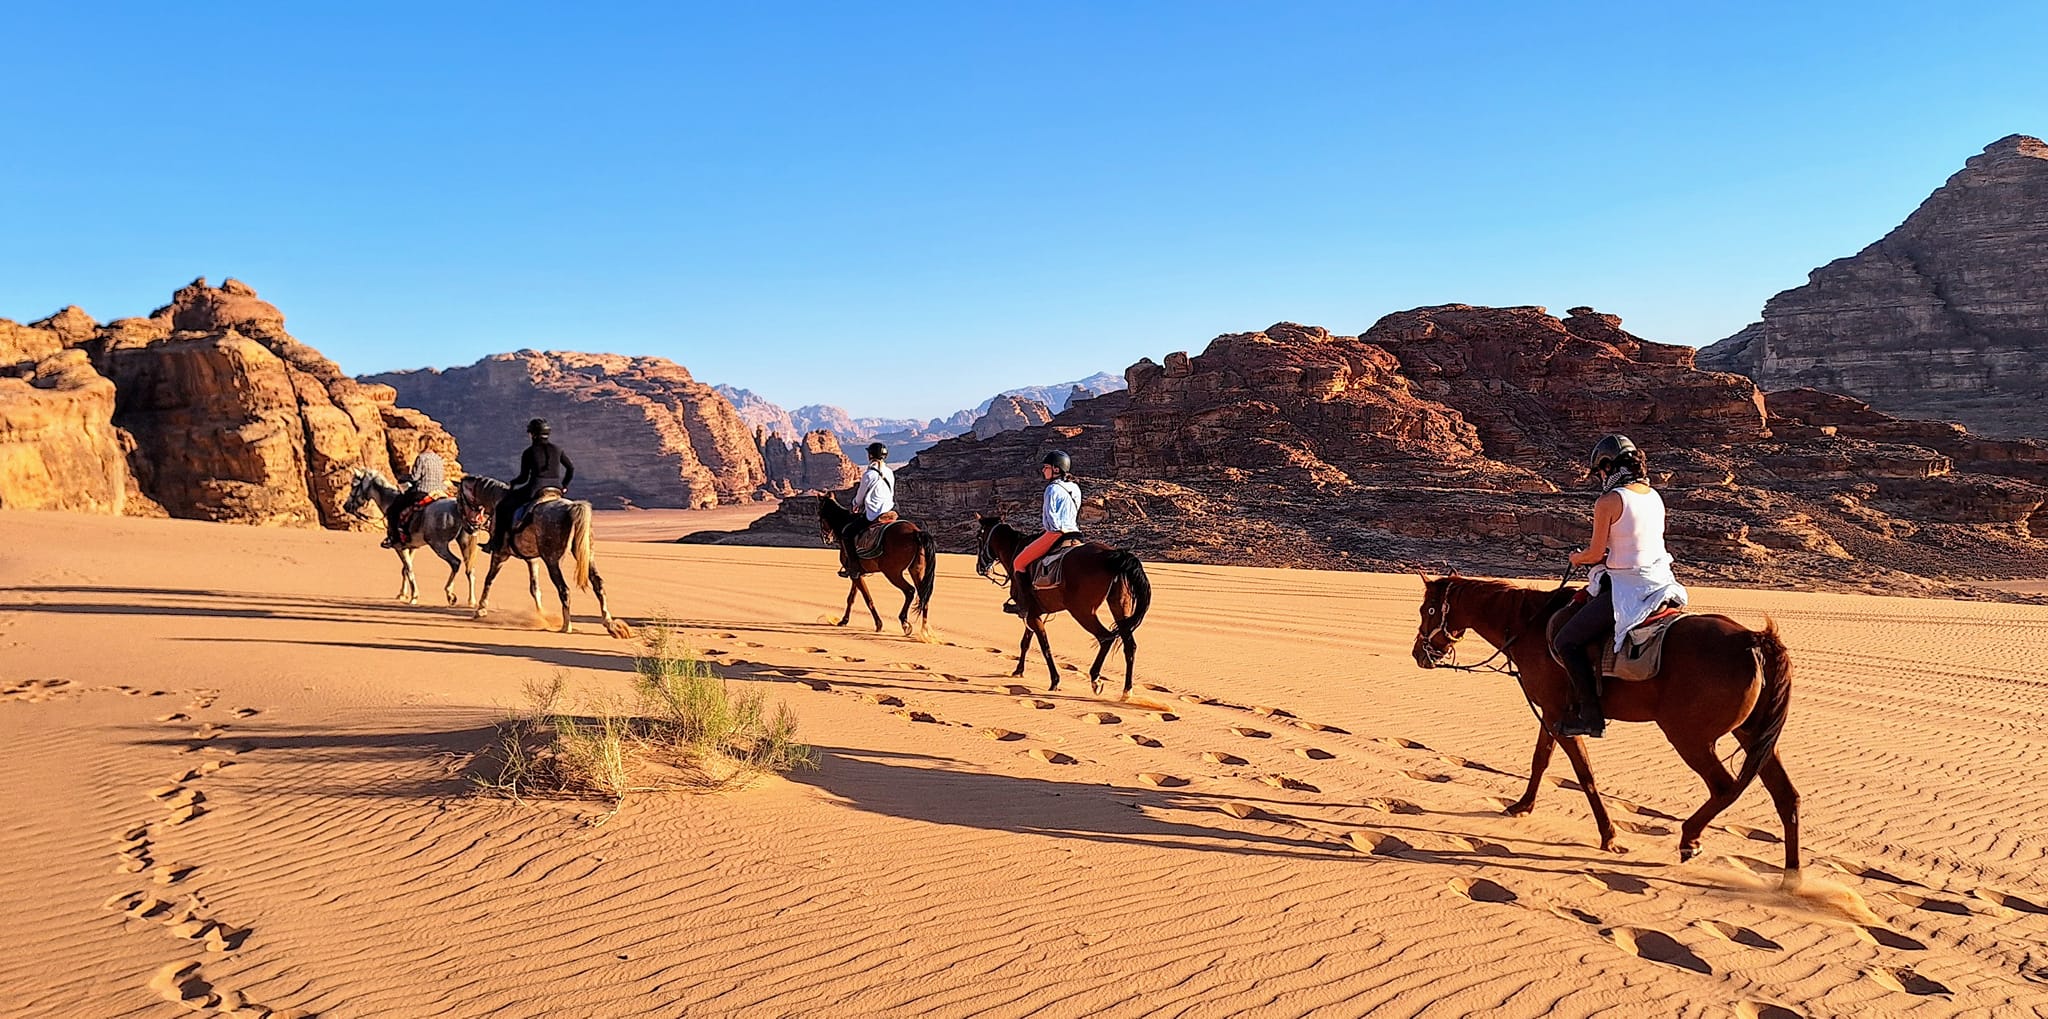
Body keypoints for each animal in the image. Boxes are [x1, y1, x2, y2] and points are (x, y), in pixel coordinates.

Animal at [350, 468, 485, 605]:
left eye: (353, 485)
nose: (346, 506)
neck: (390, 501)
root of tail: (458, 509)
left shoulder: (399, 546)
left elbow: (409, 569)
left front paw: (414, 596)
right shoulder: (412, 546)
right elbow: (405, 569)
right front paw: (402, 594)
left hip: (438, 545)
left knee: (455, 563)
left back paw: (450, 594)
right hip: (465, 541)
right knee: (470, 569)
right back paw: (472, 600)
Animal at [460, 474, 626, 638]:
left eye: (461, 500)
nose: (469, 526)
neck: (497, 499)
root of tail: (571, 508)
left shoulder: (500, 554)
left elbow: (489, 579)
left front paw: (480, 610)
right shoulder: (532, 559)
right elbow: (535, 588)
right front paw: (541, 615)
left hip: (552, 561)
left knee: (564, 590)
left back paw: (566, 626)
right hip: (588, 556)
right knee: (598, 584)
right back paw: (610, 623)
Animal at [819, 497, 937, 642]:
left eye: (820, 515)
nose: (826, 538)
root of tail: (915, 532)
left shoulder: (855, 574)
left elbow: (867, 599)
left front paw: (879, 624)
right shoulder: (857, 574)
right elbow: (851, 598)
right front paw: (844, 621)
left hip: (892, 573)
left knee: (909, 591)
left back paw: (904, 623)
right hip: (916, 570)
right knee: (924, 596)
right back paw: (925, 631)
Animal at [974, 513, 1155, 695]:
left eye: (978, 537)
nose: (979, 567)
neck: (1014, 551)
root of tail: (1113, 555)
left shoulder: (1031, 615)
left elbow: (1044, 646)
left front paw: (1054, 681)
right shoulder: (1033, 613)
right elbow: (1025, 642)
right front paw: (1018, 670)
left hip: (1082, 612)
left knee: (1105, 638)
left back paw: (1095, 679)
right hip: (1120, 607)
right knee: (1129, 645)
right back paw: (1127, 691)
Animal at [1409, 572, 1794, 883]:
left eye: (1428, 610)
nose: (1418, 654)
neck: (1527, 626)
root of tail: (1753, 641)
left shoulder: (1558, 716)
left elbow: (1584, 773)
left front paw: (1609, 835)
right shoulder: (1553, 714)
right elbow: (1540, 760)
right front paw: (1522, 806)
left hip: (1690, 738)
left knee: (1725, 787)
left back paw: (1690, 839)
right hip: (1752, 736)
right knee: (1785, 796)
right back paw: (1792, 879)